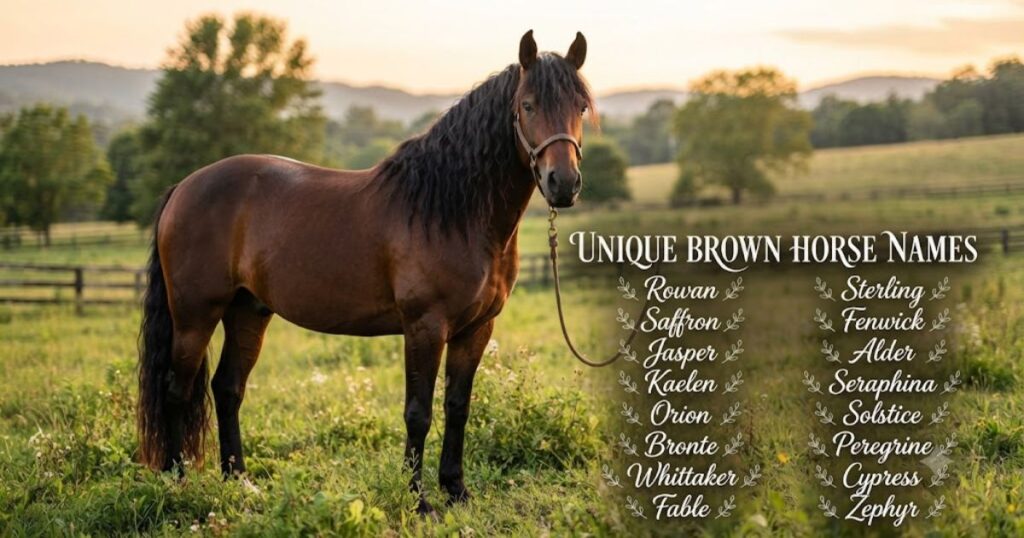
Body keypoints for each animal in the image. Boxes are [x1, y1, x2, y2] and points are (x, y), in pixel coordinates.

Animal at [137, 30, 594, 514]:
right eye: (527, 104)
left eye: (580, 107)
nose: (563, 184)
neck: (451, 212)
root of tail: (183, 187)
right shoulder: (425, 326)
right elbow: (418, 412)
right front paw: (419, 500)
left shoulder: (476, 329)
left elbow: (458, 407)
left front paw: (456, 490)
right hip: (195, 315)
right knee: (176, 390)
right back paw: (177, 482)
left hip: (248, 311)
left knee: (227, 389)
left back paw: (240, 482)